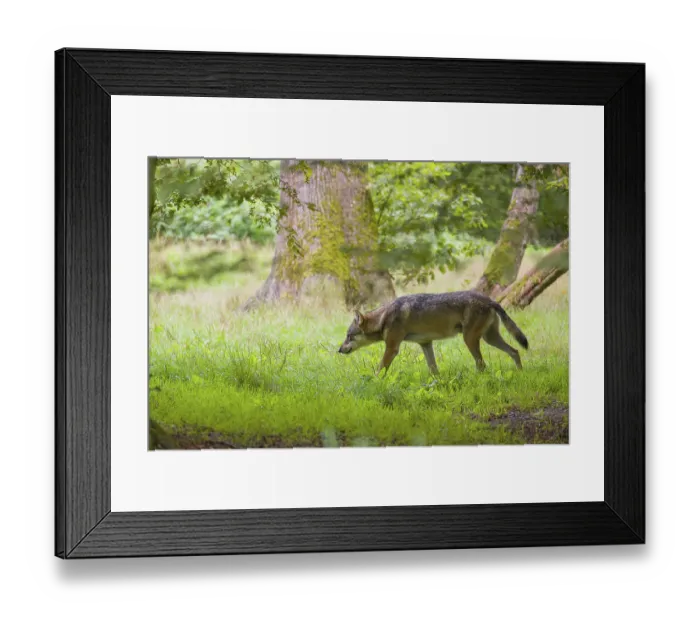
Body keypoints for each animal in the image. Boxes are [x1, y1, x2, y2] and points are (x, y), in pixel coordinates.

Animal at [338, 291, 528, 375]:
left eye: (348, 336)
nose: (339, 350)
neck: (384, 317)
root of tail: (490, 300)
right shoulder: (425, 344)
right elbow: (433, 369)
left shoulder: (392, 349)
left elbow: (379, 370)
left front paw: (373, 383)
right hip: (490, 338)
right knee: (515, 351)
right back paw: (520, 373)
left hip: (470, 340)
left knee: (482, 364)